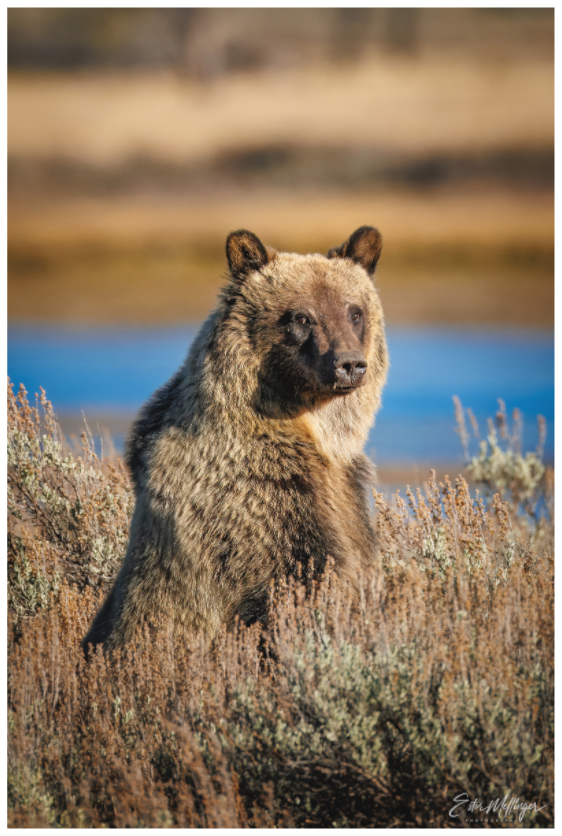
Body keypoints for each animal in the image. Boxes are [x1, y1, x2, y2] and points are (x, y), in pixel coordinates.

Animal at [83, 225, 388, 652]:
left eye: (354, 311)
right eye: (301, 316)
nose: (349, 364)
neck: (314, 430)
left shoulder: (347, 495)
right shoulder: (259, 498)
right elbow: (299, 583)